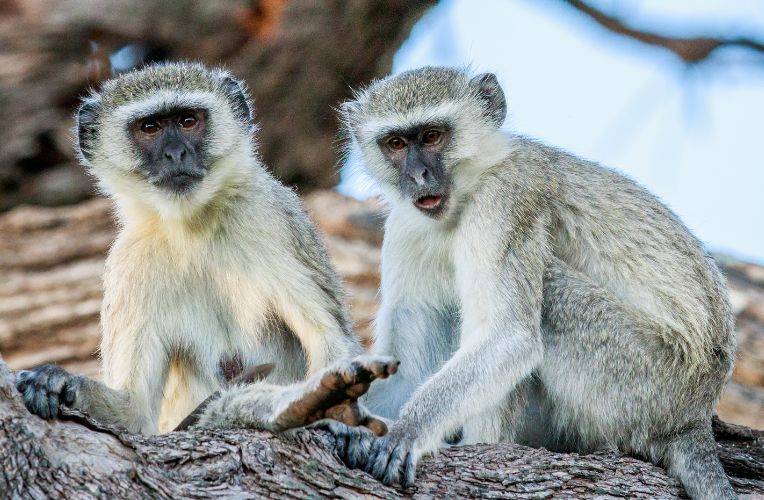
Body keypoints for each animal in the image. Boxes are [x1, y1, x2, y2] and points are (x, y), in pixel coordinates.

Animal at [16, 61, 400, 438]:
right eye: (150, 127)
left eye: (189, 121)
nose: (175, 154)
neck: (193, 229)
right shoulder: (131, 262)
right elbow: (134, 412)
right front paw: (60, 382)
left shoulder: (273, 217)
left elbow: (330, 339)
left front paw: (322, 396)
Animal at [338, 66, 736, 500]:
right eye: (395, 143)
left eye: (432, 136)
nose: (418, 175)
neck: (466, 195)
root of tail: (694, 415)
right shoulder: (407, 228)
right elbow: (408, 371)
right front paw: (343, 421)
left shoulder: (506, 198)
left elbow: (510, 337)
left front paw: (408, 431)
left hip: (644, 381)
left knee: (547, 291)